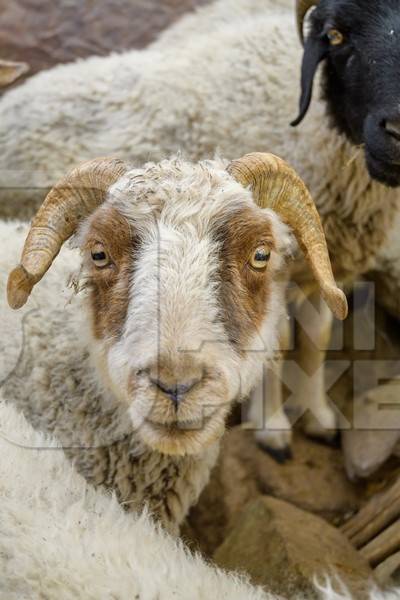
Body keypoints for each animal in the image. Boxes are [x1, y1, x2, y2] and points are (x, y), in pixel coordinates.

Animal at [0, 0, 400, 460]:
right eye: (336, 35)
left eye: (259, 254)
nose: (398, 131)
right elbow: (279, 343)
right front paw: (273, 427)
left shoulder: (319, 265)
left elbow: (317, 338)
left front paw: (318, 416)